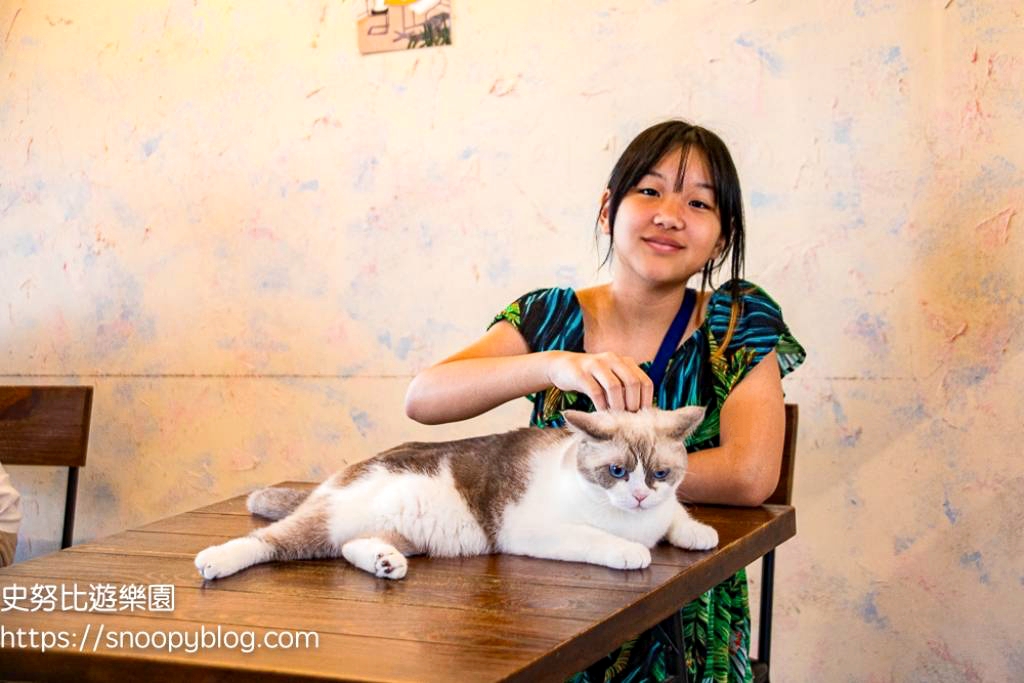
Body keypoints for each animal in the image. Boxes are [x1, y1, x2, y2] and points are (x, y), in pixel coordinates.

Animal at [193, 405, 720, 581]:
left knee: (351, 547)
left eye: (659, 473)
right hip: (327, 520)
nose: (639, 496)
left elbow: (677, 515)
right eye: (616, 471)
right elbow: (600, 540)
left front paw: (697, 533)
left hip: (405, 535)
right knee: (268, 541)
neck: (635, 520)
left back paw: (385, 564)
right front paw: (631, 551)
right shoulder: (536, 531)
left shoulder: (665, 506)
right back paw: (215, 561)